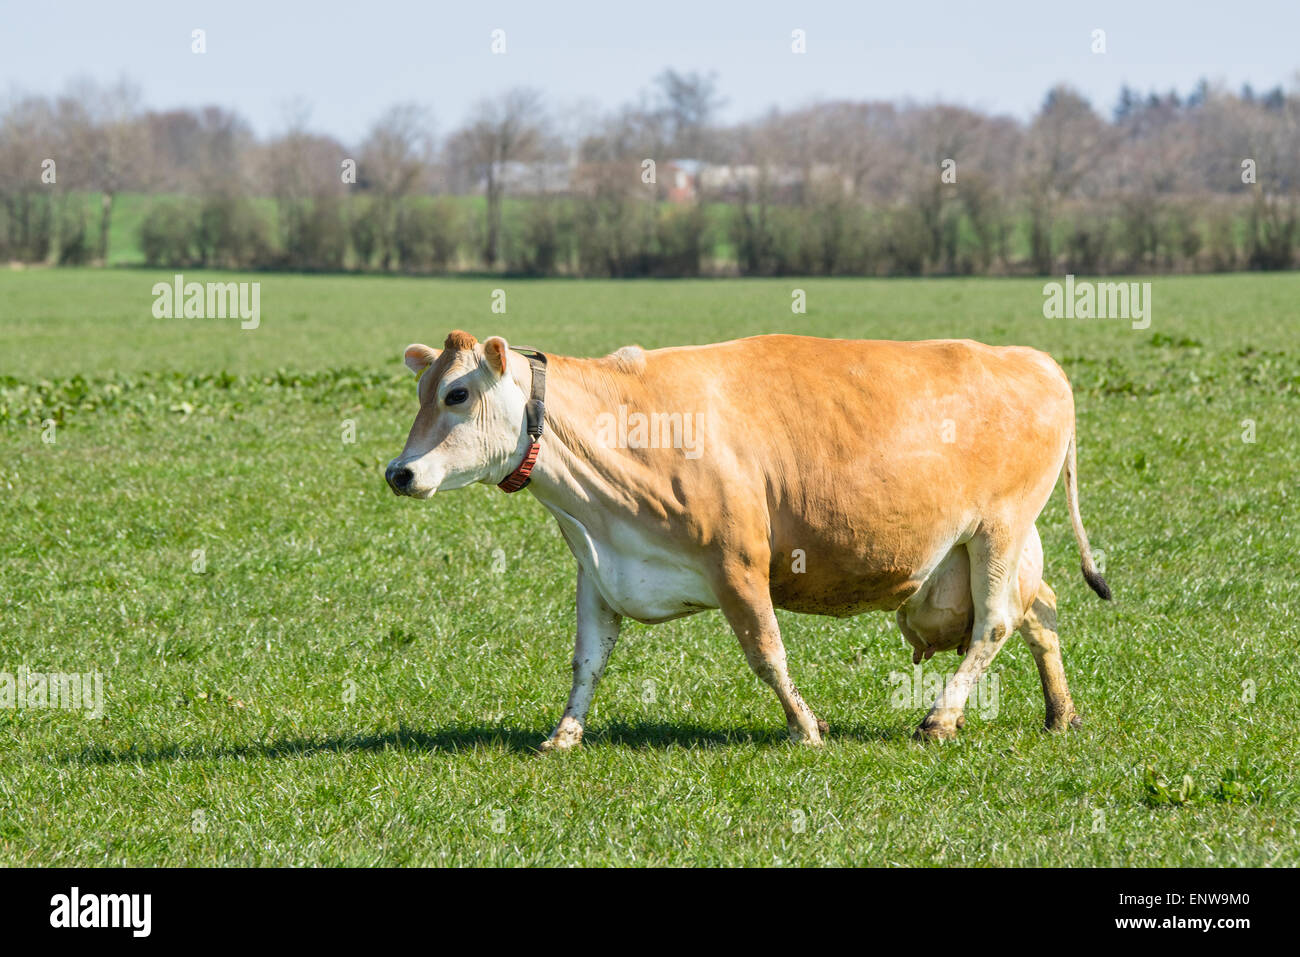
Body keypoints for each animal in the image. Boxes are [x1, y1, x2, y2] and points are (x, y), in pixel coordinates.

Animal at [386, 330, 1111, 749]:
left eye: (456, 394)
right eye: (421, 390)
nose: (399, 472)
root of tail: (1033, 358)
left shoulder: (737, 559)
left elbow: (767, 653)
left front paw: (807, 728)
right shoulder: (601, 566)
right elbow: (587, 660)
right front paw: (564, 735)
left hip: (998, 529)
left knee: (995, 623)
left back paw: (939, 718)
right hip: (992, 547)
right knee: (1039, 610)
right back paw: (1061, 713)